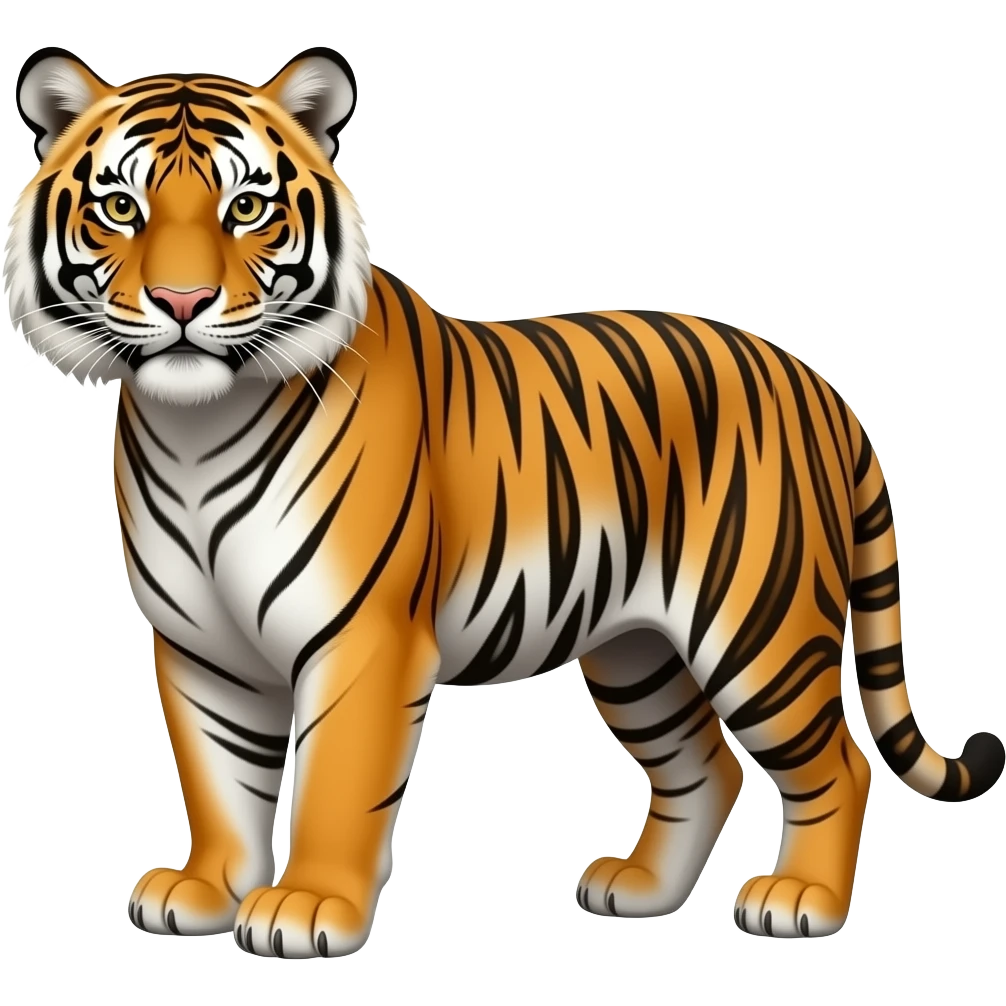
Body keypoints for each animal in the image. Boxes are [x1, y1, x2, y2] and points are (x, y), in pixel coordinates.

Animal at [6, 44, 1003, 958]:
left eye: (245, 207)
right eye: (121, 208)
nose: (182, 300)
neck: (196, 429)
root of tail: (818, 384)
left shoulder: (363, 635)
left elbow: (334, 781)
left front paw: (309, 907)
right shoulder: (200, 645)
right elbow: (218, 777)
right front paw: (207, 889)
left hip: (761, 627)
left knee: (837, 762)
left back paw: (801, 903)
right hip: (636, 650)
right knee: (705, 767)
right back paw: (640, 890)